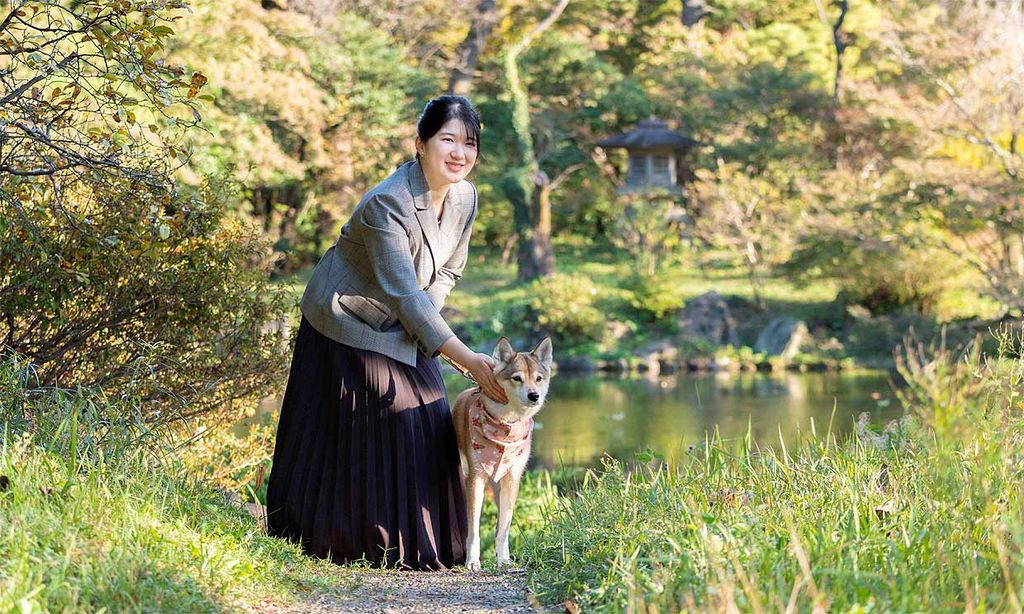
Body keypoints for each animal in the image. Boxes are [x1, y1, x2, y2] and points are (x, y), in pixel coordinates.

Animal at [452, 335, 552, 568]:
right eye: (517, 378)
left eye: (539, 378)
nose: (534, 395)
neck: (506, 426)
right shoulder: (476, 479)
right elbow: (474, 529)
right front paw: (473, 561)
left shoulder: (512, 479)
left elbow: (504, 528)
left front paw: (504, 560)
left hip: (499, 485)